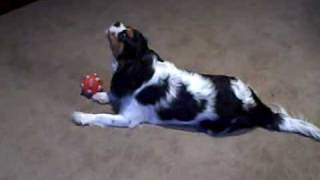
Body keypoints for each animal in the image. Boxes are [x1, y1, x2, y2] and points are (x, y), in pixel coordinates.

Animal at [72, 21, 320, 142]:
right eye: (124, 28)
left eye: (124, 35)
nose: (117, 21)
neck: (138, 66)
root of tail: (258, 106)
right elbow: (110, 96)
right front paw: (98, 94)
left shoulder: (128, 119)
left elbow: (102, 117)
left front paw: (81, 116)